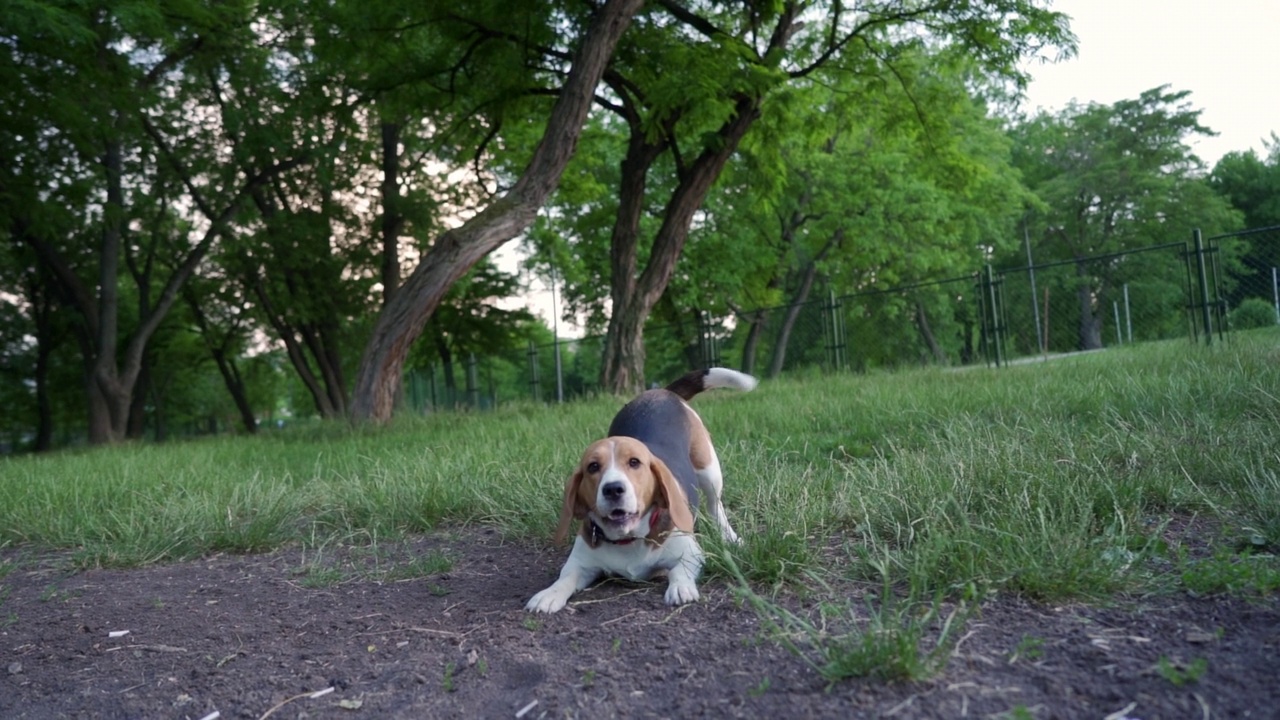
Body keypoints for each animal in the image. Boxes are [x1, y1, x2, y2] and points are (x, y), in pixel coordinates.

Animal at [524, 363, 752, 609]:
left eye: (634, 462)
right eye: (593, 467)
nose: (613, 489)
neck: (628, 538)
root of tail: (662, 391)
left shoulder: (691, 553)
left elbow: (679, 571)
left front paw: (680, 588)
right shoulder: (579, 562)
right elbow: (565, 578)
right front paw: (549, 594)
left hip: (709, 469)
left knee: (715, 505)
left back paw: (730, 537)